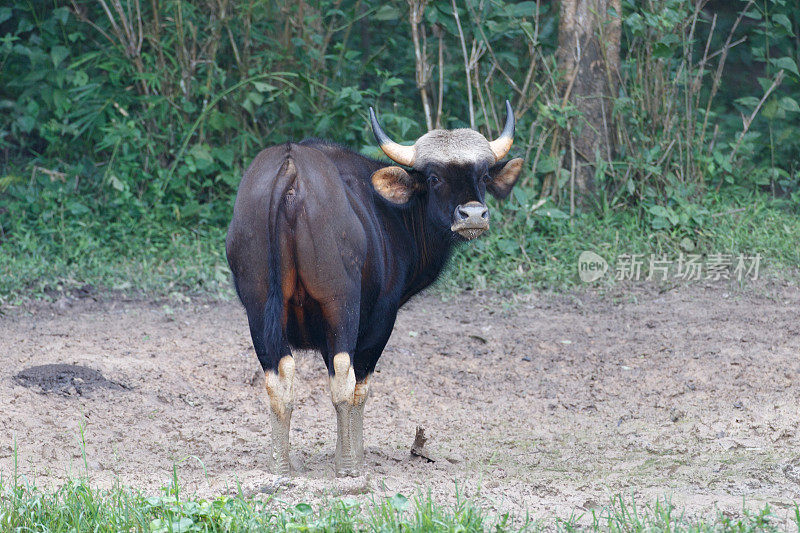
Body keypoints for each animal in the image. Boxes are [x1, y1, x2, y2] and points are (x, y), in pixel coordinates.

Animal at [227, 102, 524, 476]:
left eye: (483, 176)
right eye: (434, 177)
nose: (472, 215)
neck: (393, 213)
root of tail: (290, 171)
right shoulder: (380, 318)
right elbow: (359, 388)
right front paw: (351, 455)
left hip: (259, 308)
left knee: (277, 378)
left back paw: (280, 465)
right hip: (340, 304)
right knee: (342, 381)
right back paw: (348, 468)